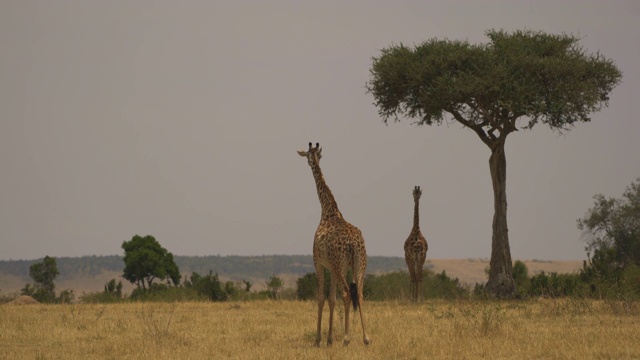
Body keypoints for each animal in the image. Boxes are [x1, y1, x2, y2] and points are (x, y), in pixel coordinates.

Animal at [298, 141, 372, 346]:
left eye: (308, 156)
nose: (310, 162)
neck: (328, 210)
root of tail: (353, 244)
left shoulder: (319, 263)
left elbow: (321, 298)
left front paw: (319, 339)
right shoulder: (333, 267)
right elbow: (331, 299)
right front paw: (330, 338)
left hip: (340, 265)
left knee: (346, 292)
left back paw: (346, 338)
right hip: (359, 263)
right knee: (359, 293)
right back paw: (366, 338)